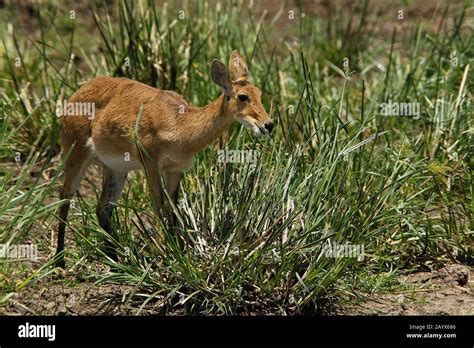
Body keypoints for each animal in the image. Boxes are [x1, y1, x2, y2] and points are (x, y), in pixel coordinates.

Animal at [54, 49, 274, 266]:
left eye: (259, 93)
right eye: (243, 96)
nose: (268, 124)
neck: (180, 125)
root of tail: (78, 92)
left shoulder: (175, 169)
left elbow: (173, 209)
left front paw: (181, 253)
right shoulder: (151, 164)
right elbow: (159, 205)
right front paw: (167, 254)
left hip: (116, 169)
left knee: (102, 208)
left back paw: (115, 260)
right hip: (75, 154)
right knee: (65, 196)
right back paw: (59, 261)